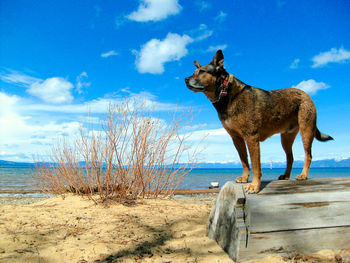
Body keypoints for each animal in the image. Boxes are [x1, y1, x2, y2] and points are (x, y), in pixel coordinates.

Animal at [185, 50, 332, 194]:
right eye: (194, 72)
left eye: (202, 71)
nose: (185, 79)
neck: (225, 93)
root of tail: (307, 95)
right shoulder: (236, 138)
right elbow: (244, 160)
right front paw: (245, 178)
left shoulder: (251, 137)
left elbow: (255, 165)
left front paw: (254, 186)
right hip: (286, 138)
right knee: (290, 157)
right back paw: (286, 175)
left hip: (306, 130)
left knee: (308, 155)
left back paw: (303, 175)